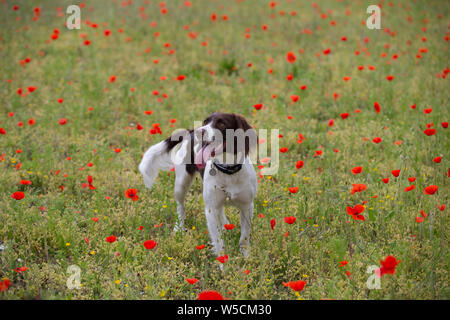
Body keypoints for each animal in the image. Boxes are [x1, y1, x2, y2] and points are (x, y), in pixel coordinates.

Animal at [138, 112, 256, 258]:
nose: (200, 131)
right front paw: (224, 262)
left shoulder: (247, 206)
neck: (228, 171)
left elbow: (244, 238)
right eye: (205, 121)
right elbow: (219, 241)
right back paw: (179, 228)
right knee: (181, 207)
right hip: (181, 184)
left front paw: (246, 258)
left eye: (222, 123)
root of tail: (190, 132)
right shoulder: (210, 210)